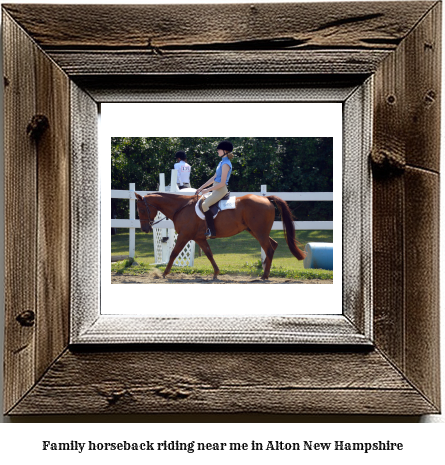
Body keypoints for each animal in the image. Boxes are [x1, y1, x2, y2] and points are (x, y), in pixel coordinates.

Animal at [134, 191, 306, 280]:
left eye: (141, 209)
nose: (144, 229)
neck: (181, 207)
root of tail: (265, 198)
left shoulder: (184, 236)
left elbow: (174, 253)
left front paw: (164, 273)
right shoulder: (199, 238)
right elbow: (209, 254)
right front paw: (216, 273)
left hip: (259, 232)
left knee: (269, 248)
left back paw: (264, 276)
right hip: (255, 231)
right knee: (273, 245)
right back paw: (265, 271)